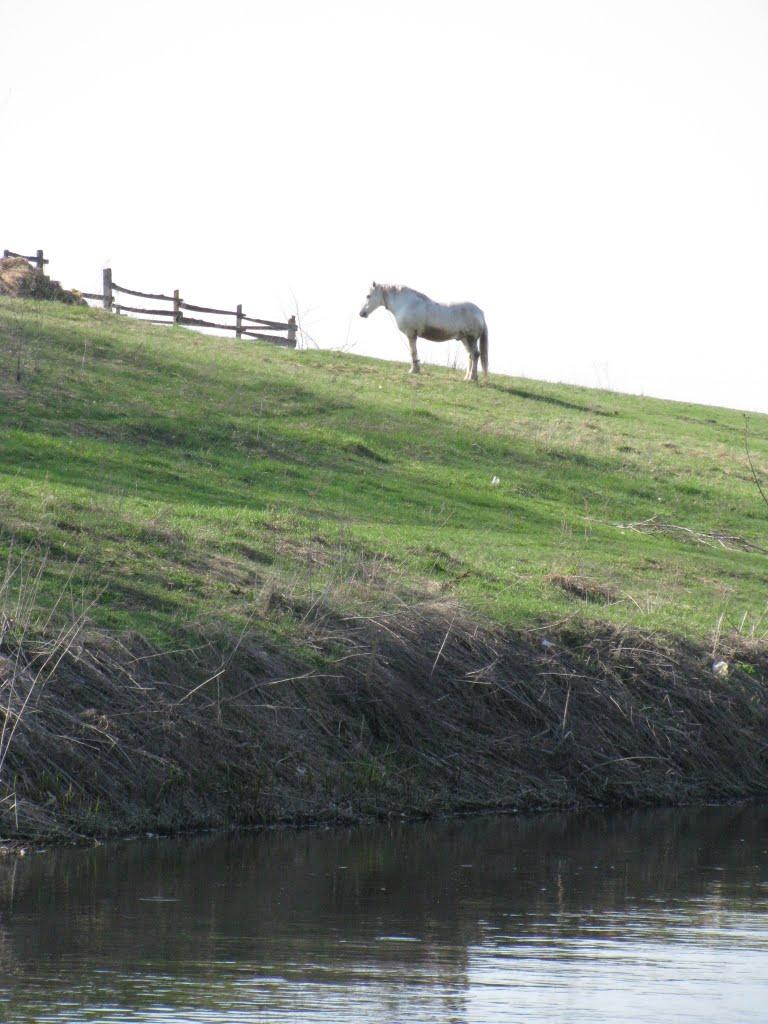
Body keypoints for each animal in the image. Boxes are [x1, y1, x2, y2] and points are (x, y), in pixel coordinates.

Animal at [360, 282, 489, 382]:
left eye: (368, 296)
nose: (361, 313)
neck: (406, 303)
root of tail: (480, 312)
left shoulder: (411, 334)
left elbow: (413, 352)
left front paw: (413, 370)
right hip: (464, 339)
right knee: (470, 356)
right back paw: (467, 377)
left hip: (470, 339)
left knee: (475, 355)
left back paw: (472, 378)